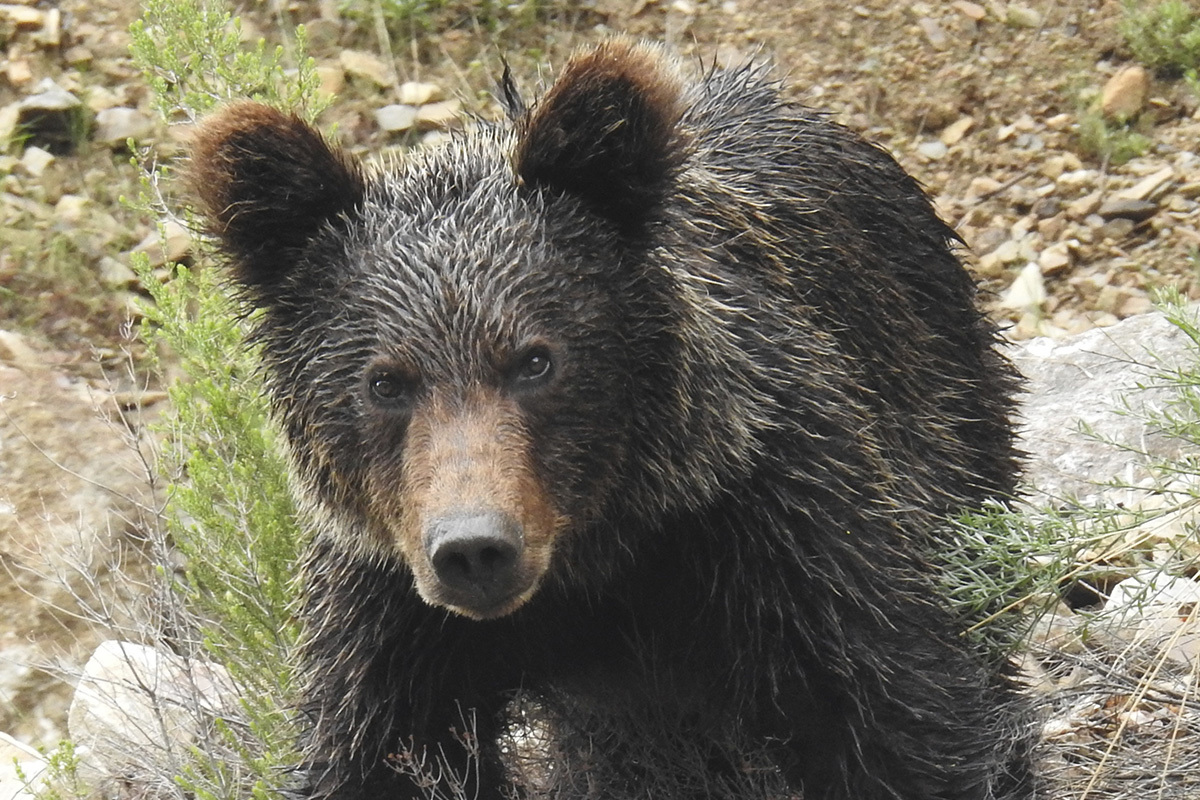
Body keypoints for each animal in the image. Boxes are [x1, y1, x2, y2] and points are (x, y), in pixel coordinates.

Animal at [189, 40, 1035, 800]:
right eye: (384, 381)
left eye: (536, 359)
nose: (474, 549)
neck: (592, 559)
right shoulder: (390, 607)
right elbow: (374, 753)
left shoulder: (774, 526)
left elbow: (898, 710)